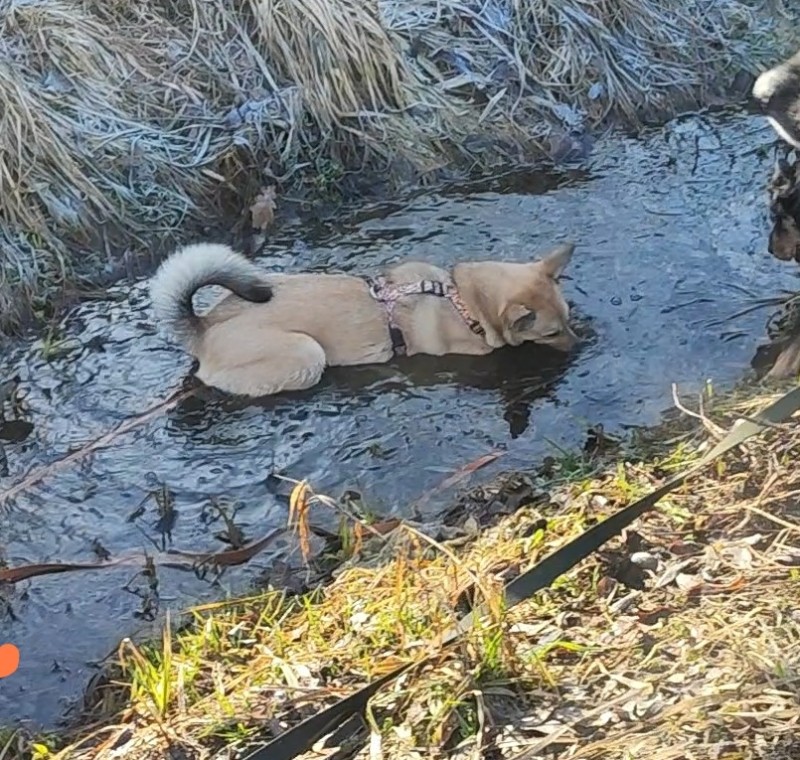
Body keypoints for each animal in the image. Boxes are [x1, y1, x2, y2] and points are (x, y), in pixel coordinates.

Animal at [148, 242, 576, 398]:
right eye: (552, 333)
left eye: (569, 319)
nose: (580, 344)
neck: (462, 299)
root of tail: (203, 328)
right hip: (307, 354)